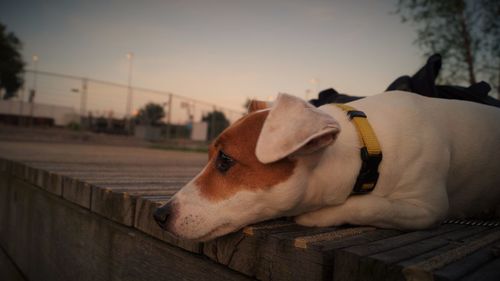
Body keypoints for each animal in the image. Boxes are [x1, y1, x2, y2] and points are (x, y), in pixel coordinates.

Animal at [152, 91, 500, 240]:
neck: (366, 147)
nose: (159, 215)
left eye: (225, 160)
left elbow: (369, 205)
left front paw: (316, 215)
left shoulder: (427, 207)